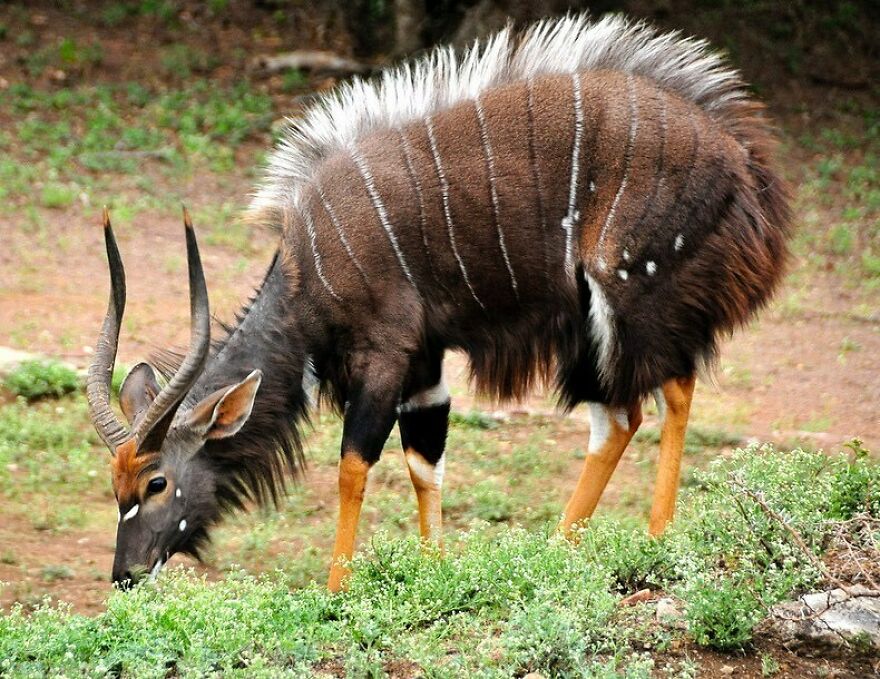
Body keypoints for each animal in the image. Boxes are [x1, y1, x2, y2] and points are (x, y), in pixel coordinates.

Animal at [87, 15, 790, 591]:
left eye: (155, 481)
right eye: (114, 485)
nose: (125, 574)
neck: (306, 275)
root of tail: (740, 162)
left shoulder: (385, 354)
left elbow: (353, 465)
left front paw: (337, 592)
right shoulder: (424, 367)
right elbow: (424, 462)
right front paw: (435, 573)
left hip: (632, 296)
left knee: (671, 390)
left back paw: (655, 537)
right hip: (592, 330)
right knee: (621, 415)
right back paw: (558, 551)